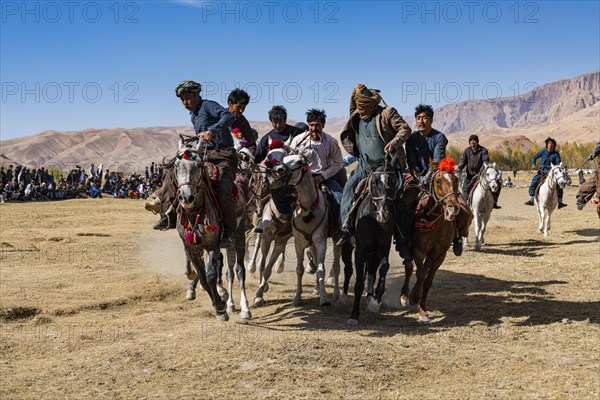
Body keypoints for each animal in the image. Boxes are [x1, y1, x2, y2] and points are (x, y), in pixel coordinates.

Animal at [400, 158, 472, 324]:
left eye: (456, 179)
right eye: (438, 181)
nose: (453, 207)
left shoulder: (440, 254)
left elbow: (428, 280)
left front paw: (422, 309)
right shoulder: (418, 250)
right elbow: (420, 273)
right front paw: (414, 298)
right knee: (409, 267)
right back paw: (405, 296)